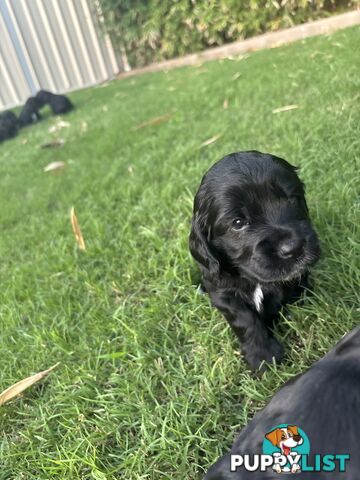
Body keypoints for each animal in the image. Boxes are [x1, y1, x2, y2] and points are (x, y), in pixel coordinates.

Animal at [190, 152, 320, 370]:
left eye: (293, 199)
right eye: (238, 223)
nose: (293, 248)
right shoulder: (222, 292)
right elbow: (244, 319)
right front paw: (263, 356)